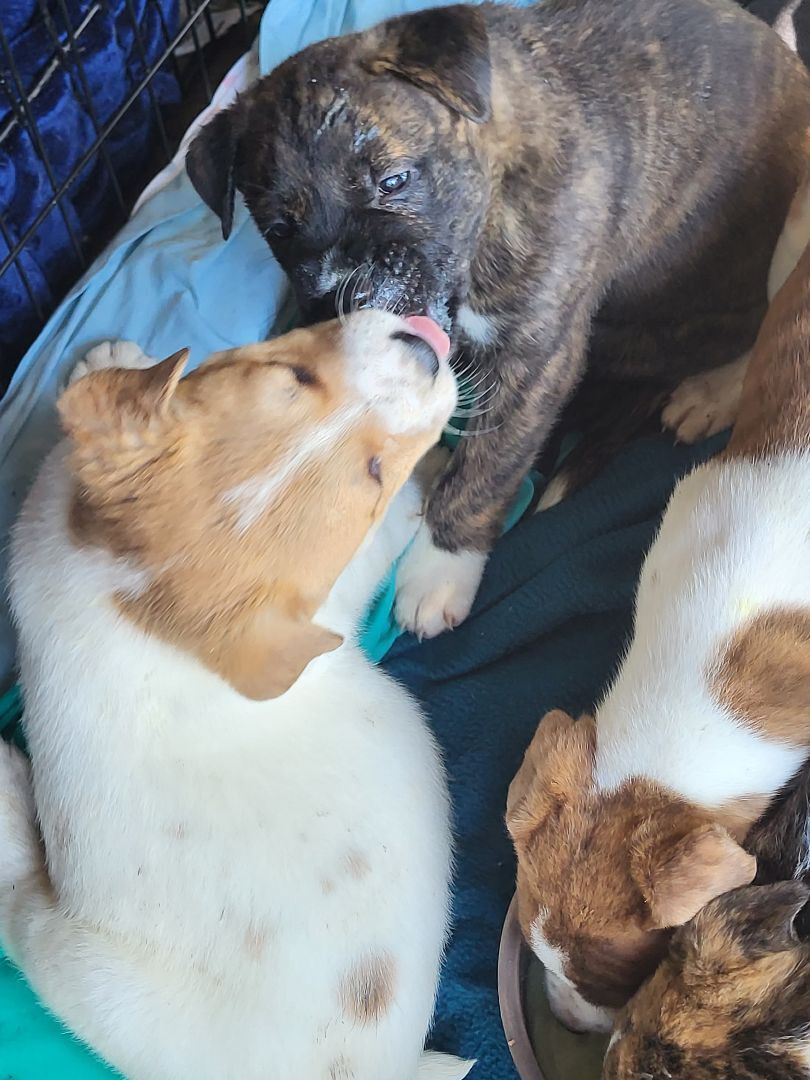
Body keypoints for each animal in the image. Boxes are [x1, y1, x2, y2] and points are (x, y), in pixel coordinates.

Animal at [0, 313, 475, 1080]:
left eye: (293, 374)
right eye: (373, 473)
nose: (423, 349)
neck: (157, 604)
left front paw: (107, 371)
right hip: (87, 970)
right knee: (22, 914)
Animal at [186, 0, 810, 639]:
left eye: (394, 181)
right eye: (278, 229)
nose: (353, 295)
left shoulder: (532, 360)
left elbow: (486, 467)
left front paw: (439, 569)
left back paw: (705, 394)